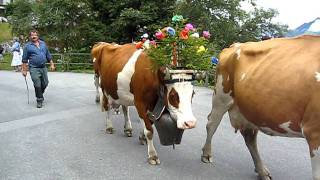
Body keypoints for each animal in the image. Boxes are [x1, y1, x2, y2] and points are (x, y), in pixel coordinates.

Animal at [201, 35, 320, 180]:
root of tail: (236, 45)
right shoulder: (314, 131)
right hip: (221, 95)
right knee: (212, 123)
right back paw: (206, 154)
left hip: (251, 110)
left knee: (249, 137)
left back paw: (262, 171)